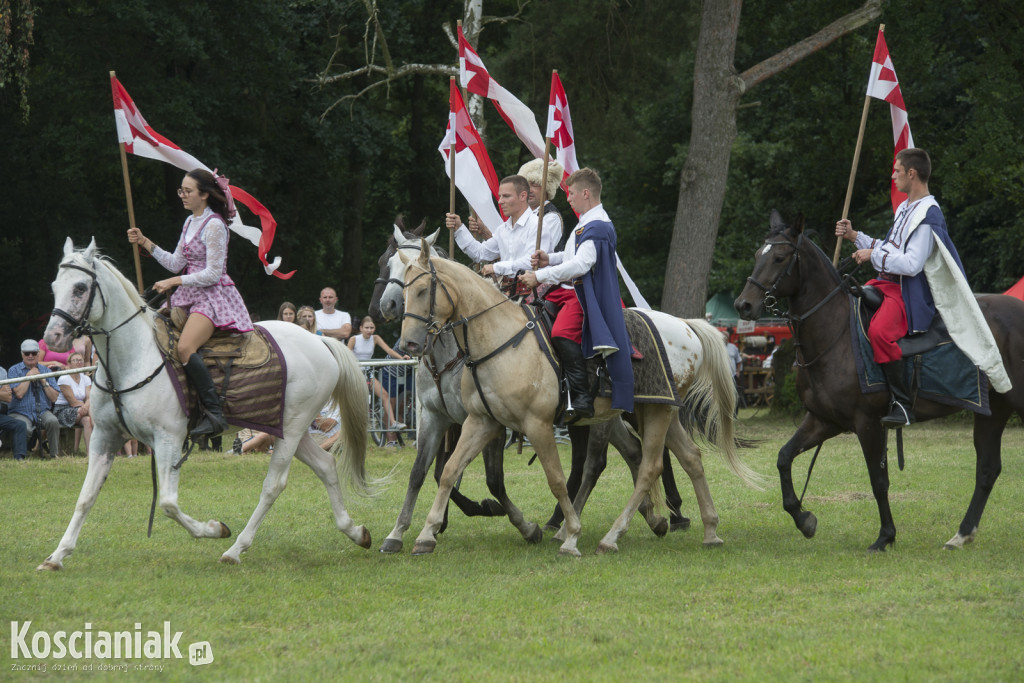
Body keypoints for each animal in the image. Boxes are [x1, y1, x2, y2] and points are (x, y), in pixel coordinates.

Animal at [39, 237, 376, 569]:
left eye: (80, 287)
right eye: (54, 285)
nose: (54, 337)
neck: (133, 358)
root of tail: (319, 341)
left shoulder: (168, 439)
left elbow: (168, 503)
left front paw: (215, 529)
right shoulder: (104, 437)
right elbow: (85, 497)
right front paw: (57, 555)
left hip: (292, 429)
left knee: (273, 485)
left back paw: (235, 549)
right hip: (287, 428)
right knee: (326, 465)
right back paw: (355, 531)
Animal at [737, 210, 1024, 552]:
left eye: (780, 258)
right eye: (758, 255)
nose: (744, 305)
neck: (836, 333)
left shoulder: (868, 423)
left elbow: (878, 480)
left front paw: (885, 536)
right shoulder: (823, 420)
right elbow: (783, 458)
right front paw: (803, 519)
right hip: (994, 410)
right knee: (988, 468)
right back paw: (962, 533)